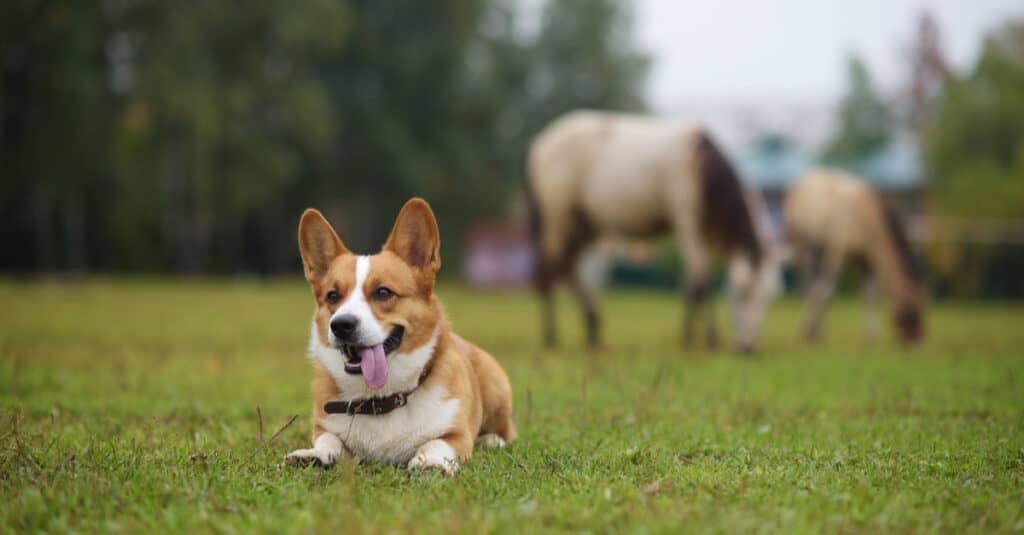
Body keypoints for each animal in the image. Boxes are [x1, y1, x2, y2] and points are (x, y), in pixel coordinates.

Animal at [284, 197, 516, 473]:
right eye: (332, 296)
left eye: (383, 292)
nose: (341, 325)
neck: (381, 398)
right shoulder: (324, 427)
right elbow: (329, 440)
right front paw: (314, 455)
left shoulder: (457, 435)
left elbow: (436, 443)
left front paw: (430, 462)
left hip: (497, 388)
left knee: (507, 431)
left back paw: (492, 439)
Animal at [528, 110, 782, 352]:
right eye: (741, 294)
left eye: (768, 298)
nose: (748, 347)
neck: (701, 165)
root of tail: (540, 144)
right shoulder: (686, 219)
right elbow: (701, 278)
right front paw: (706, 338)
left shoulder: (706, 230)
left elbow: (691, 279)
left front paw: (690, 335)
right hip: (557, 216)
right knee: (550, 269)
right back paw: (552, 335)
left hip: (583, 223)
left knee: (568, 269)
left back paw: (592, 326)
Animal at [782, 169, 929, 344]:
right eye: (912, 311)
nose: (917, 340)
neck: (866, 218)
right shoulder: (837, 250)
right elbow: (827, 291)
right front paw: (811, 332)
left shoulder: (867, 261)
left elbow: (870, 295)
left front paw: (871, 337)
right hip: (805, 247)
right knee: (809, 284)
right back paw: (812, 329)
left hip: (819, 250)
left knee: (814, 286)